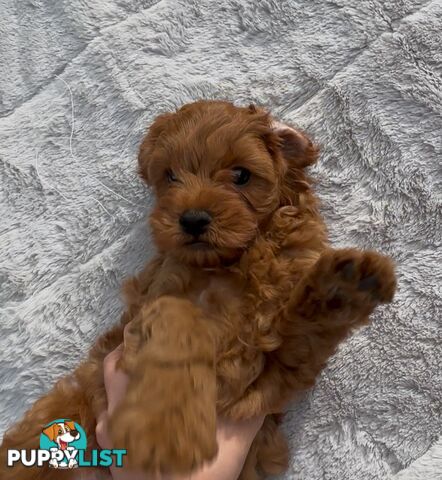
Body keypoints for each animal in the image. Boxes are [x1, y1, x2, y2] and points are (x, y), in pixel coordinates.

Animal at [0, 99, 396, 478]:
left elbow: (304, 333)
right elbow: (178, 322)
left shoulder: (272, 377)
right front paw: (161, 431)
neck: (232, 262)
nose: (192, 219)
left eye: (241, 175)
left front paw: (343, 286)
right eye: (171, 176)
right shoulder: (155, 300)